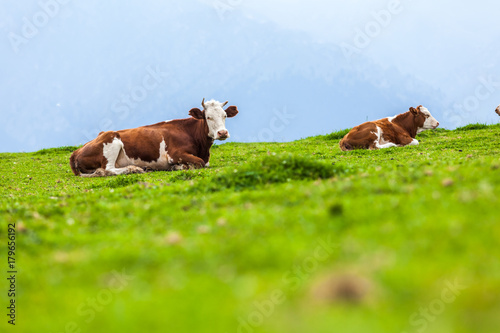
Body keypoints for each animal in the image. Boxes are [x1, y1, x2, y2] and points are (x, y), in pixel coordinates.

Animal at [69, 98, 239, 176]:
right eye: (208, 117)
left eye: (224, 116)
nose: (222, 133)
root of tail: (76, 152)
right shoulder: (175, 154)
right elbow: (200, 163)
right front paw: (180, 166)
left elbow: (204, 163)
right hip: (112, 141)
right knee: (108, 169)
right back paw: (134, 169)